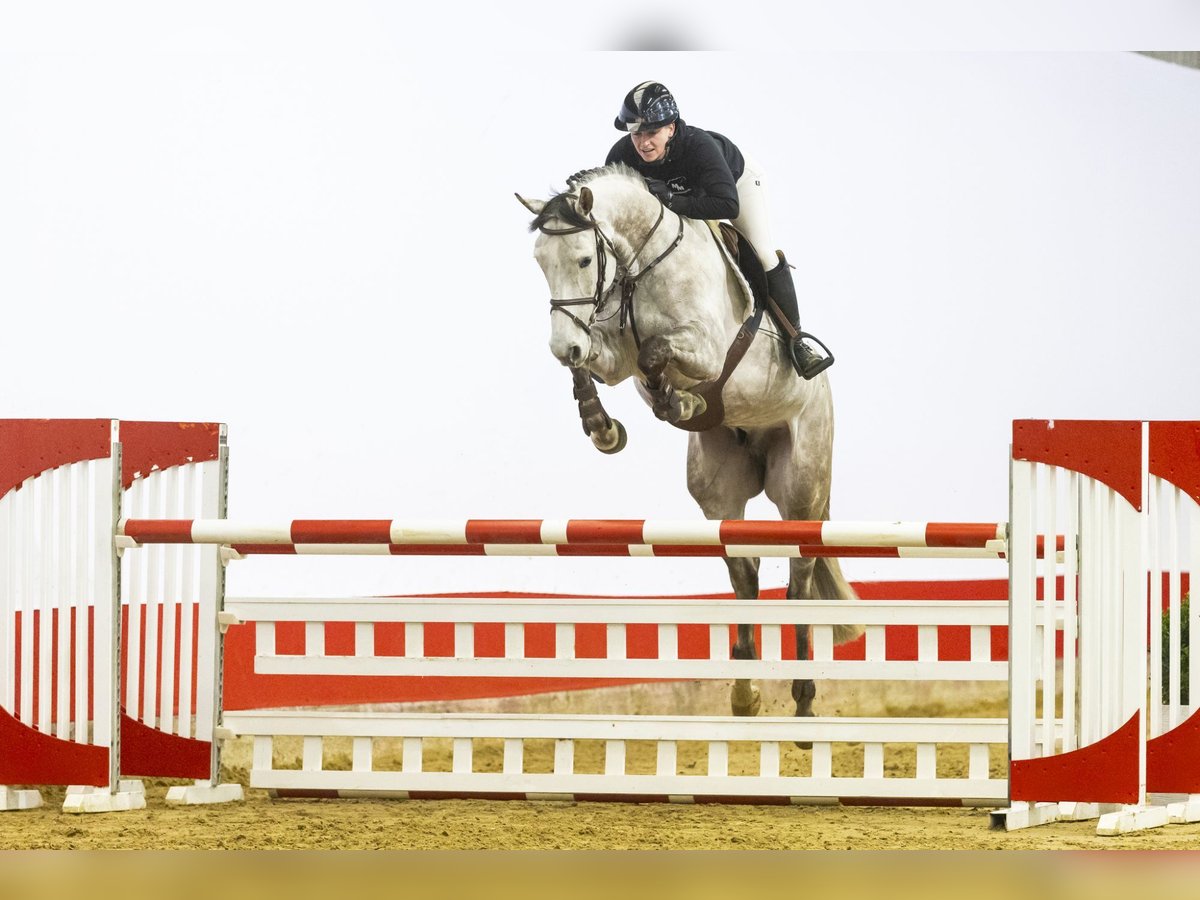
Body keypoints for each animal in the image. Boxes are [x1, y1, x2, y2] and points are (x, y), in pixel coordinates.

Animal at [511, 164, 859, 724]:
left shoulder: (707, 348)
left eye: (584, 259)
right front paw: (604, 427)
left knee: (799, 576)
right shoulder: (611, 356)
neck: (640, 265)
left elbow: (656, 351)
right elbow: (602, 366)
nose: (563, 344)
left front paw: (681, 403)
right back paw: (744, 694)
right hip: (720, 487)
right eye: (541, 263)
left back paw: (804, 706)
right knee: (745, 572)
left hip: (801, 482)